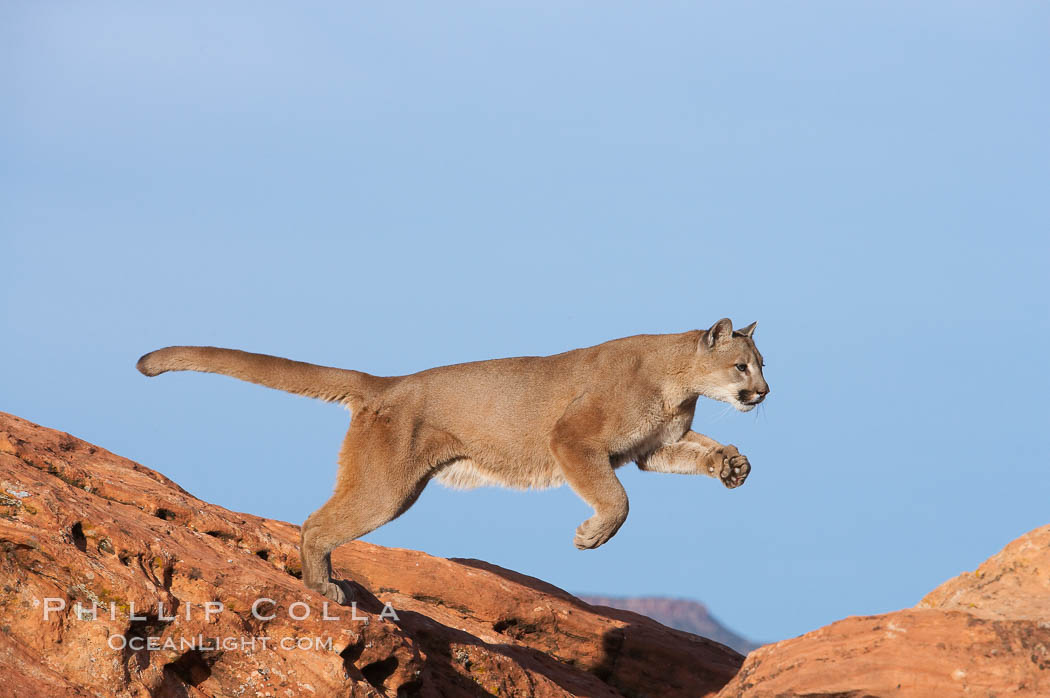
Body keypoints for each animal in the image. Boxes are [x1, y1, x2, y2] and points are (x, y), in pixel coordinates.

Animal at [135, 319, 768, 600]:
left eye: (761, 364)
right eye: (742, 365)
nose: (764, 393)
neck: (678, 382)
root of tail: (387, 383)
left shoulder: (649, 448)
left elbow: (693, 454)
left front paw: (732, 464)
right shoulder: (575, 441)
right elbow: (618, 500)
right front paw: (591, 536)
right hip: (386, 489)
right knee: (315, 524)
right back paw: (322, 588)